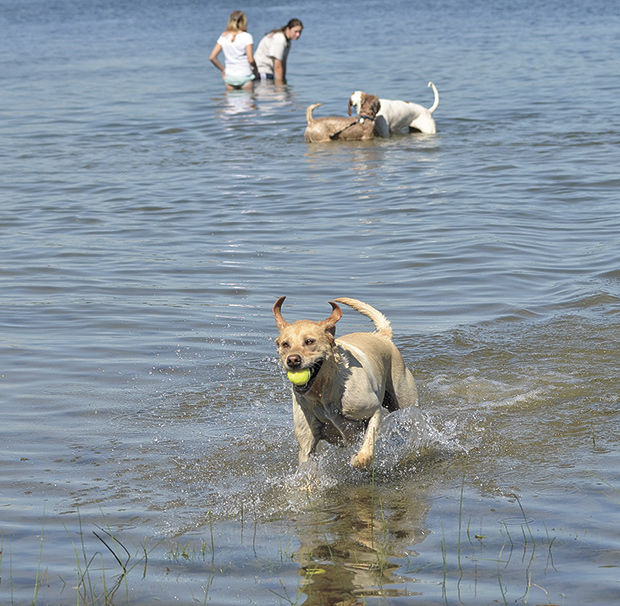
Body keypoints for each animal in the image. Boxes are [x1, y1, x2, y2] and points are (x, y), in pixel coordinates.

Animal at [272, 296, 416, 472]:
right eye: (285, 344)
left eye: (309, 341)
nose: (292, 360)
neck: (323, 392)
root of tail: (381, 336)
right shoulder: (307, 441)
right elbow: (307, 469)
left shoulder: (373, 411)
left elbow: (365, 453)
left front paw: (357, 459)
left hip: (405, 402)